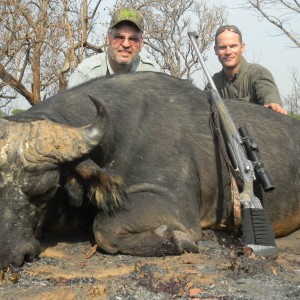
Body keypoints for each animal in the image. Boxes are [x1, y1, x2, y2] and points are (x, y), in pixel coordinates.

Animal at [0, 71, 300, 268]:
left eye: (47, 189)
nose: (9, 253)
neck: (119, 132)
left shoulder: (171, 203)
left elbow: (104, 228)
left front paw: (177, 240)